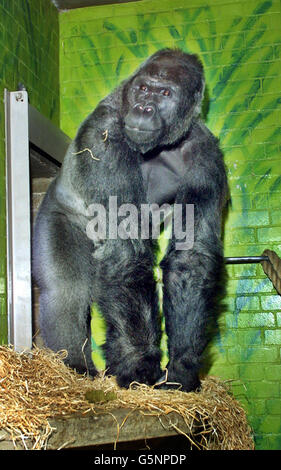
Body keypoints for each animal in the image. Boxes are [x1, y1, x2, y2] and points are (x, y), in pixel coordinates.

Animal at [32, 48, 228, 392]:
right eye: (143, 88)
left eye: (165, 94)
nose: (143, 108)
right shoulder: (103, 134)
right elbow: (125, 254)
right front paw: (139, 363)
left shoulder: (207, 156)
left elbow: (191, 258)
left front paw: (181, 368)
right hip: (55, 209)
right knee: (66, 289)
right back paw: (75, 367)